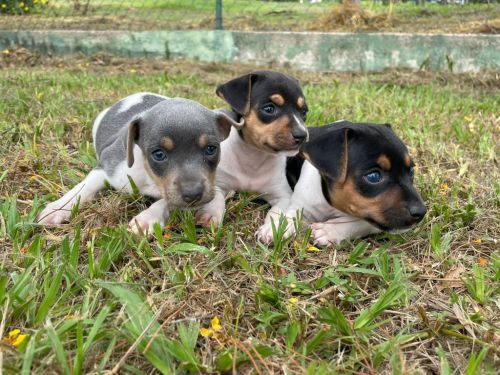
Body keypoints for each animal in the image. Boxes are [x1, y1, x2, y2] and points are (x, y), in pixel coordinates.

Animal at [37, 92, 240, 234]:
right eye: (158, 154)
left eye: (211, 149)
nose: (194, 195)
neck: (149, 175)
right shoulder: (107, 166)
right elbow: (82, 188)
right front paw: (58, 208)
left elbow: (166, 201)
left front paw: (148, 218)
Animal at [282, 121, 426, 247]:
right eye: (373, 176)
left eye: (411, 170)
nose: (421, 212)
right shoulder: (300, 205)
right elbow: (289, 219)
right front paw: (279, 230)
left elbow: (360, 222)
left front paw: (329, 231)